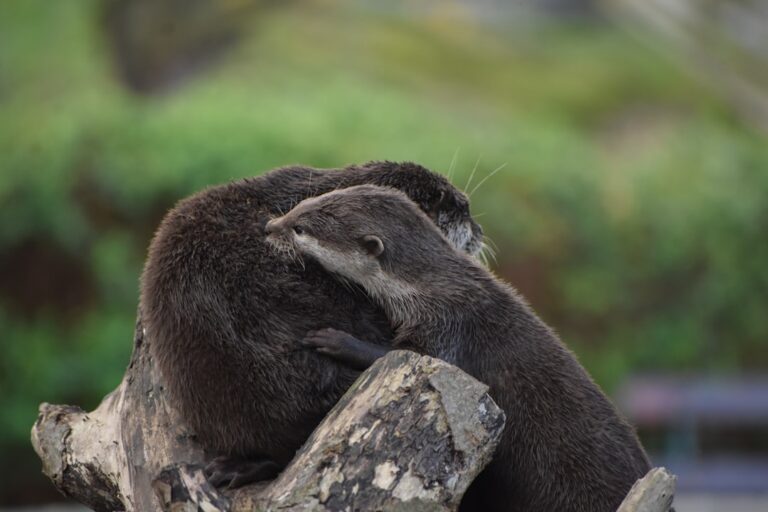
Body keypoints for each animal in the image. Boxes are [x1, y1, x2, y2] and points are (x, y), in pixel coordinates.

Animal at [265, 185, 651, 512]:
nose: (270, 226)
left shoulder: (449, 319)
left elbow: (411, 354)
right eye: (301, 206)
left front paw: (333, 339)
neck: (429, 285)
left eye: (300, 228)